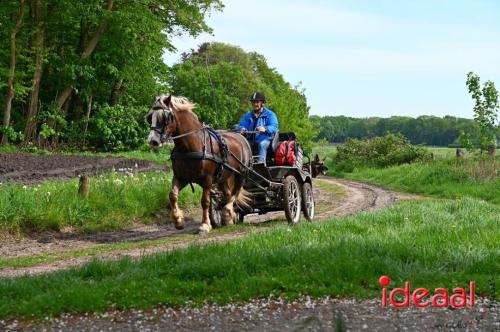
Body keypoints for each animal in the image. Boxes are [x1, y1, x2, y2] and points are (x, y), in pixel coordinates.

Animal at [146, 94, 252, 232]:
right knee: (228, 194)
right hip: (223, 177)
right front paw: (178, 220)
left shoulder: (207, 179)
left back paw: (227, 211)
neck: (190, 147)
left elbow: (205, 201)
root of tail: (241, 136)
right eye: (150, 117)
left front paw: (205, 225)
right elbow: (172, 195)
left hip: (241, 173)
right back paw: (228, 217)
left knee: (236, 192)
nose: (152, 141)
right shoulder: (181, 177)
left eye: (165, 118)